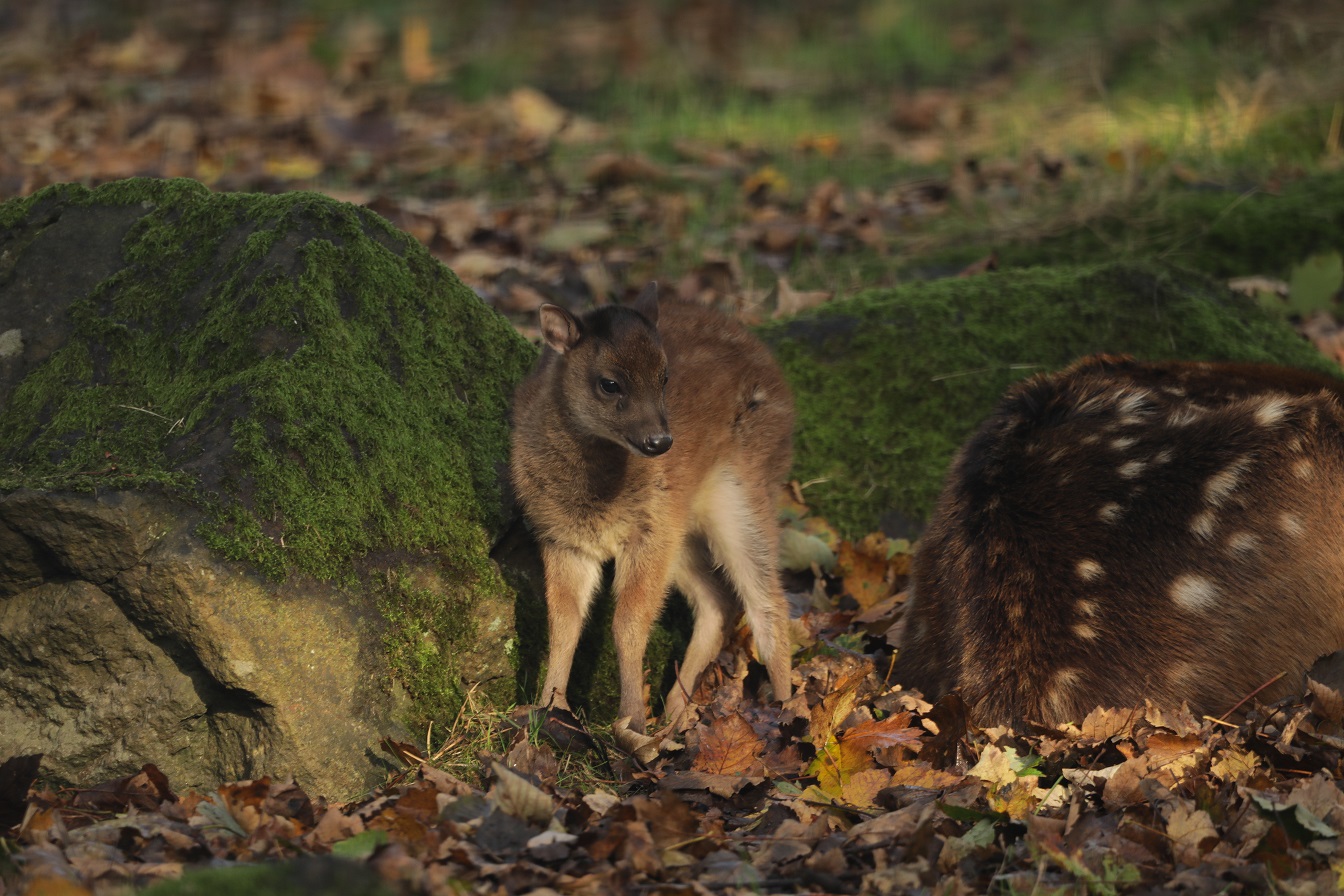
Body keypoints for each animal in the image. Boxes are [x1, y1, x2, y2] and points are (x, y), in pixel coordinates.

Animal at [508, 286, 790, 736]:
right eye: (609, 383)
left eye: (665, 377)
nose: (660, 442)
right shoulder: (562, 539)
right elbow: (564, 623)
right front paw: (550, 708)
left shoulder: (650, 530)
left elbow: (627, 623)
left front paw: (631, 722)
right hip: (683, 531)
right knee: (718, 602)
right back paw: (676, 713)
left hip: (743, 491)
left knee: (768, 602)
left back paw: (791, 712)